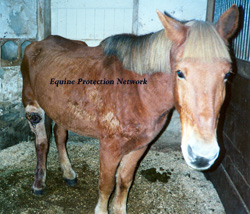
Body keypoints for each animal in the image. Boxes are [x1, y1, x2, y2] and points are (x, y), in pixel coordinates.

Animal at [21, 4, 238, 214]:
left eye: (227, 74)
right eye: (180, 73)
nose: (202, 156)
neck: (137, 92)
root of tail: (37, 44)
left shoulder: (140, 146)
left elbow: (124, 181)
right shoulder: (109, 147)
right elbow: (106, 184)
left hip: (62, 111)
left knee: (59, 135)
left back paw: (68, 173)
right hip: (34, 107)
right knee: (42, 143)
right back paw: (39, 184)